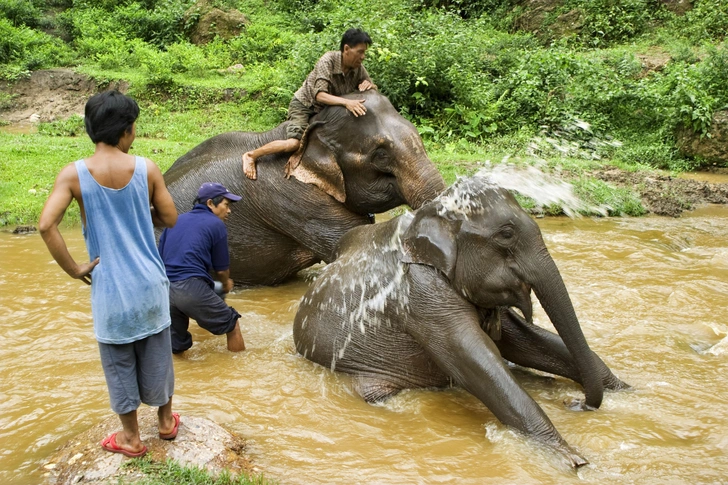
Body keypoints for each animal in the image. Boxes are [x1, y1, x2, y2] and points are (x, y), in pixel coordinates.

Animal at [292, 174, 628, 466]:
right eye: (506, 235)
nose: (577, 403)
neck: (434, 214)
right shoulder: (423, 293)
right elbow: (474, 362)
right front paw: (572, 460)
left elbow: (524, 340)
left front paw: (626, 391)